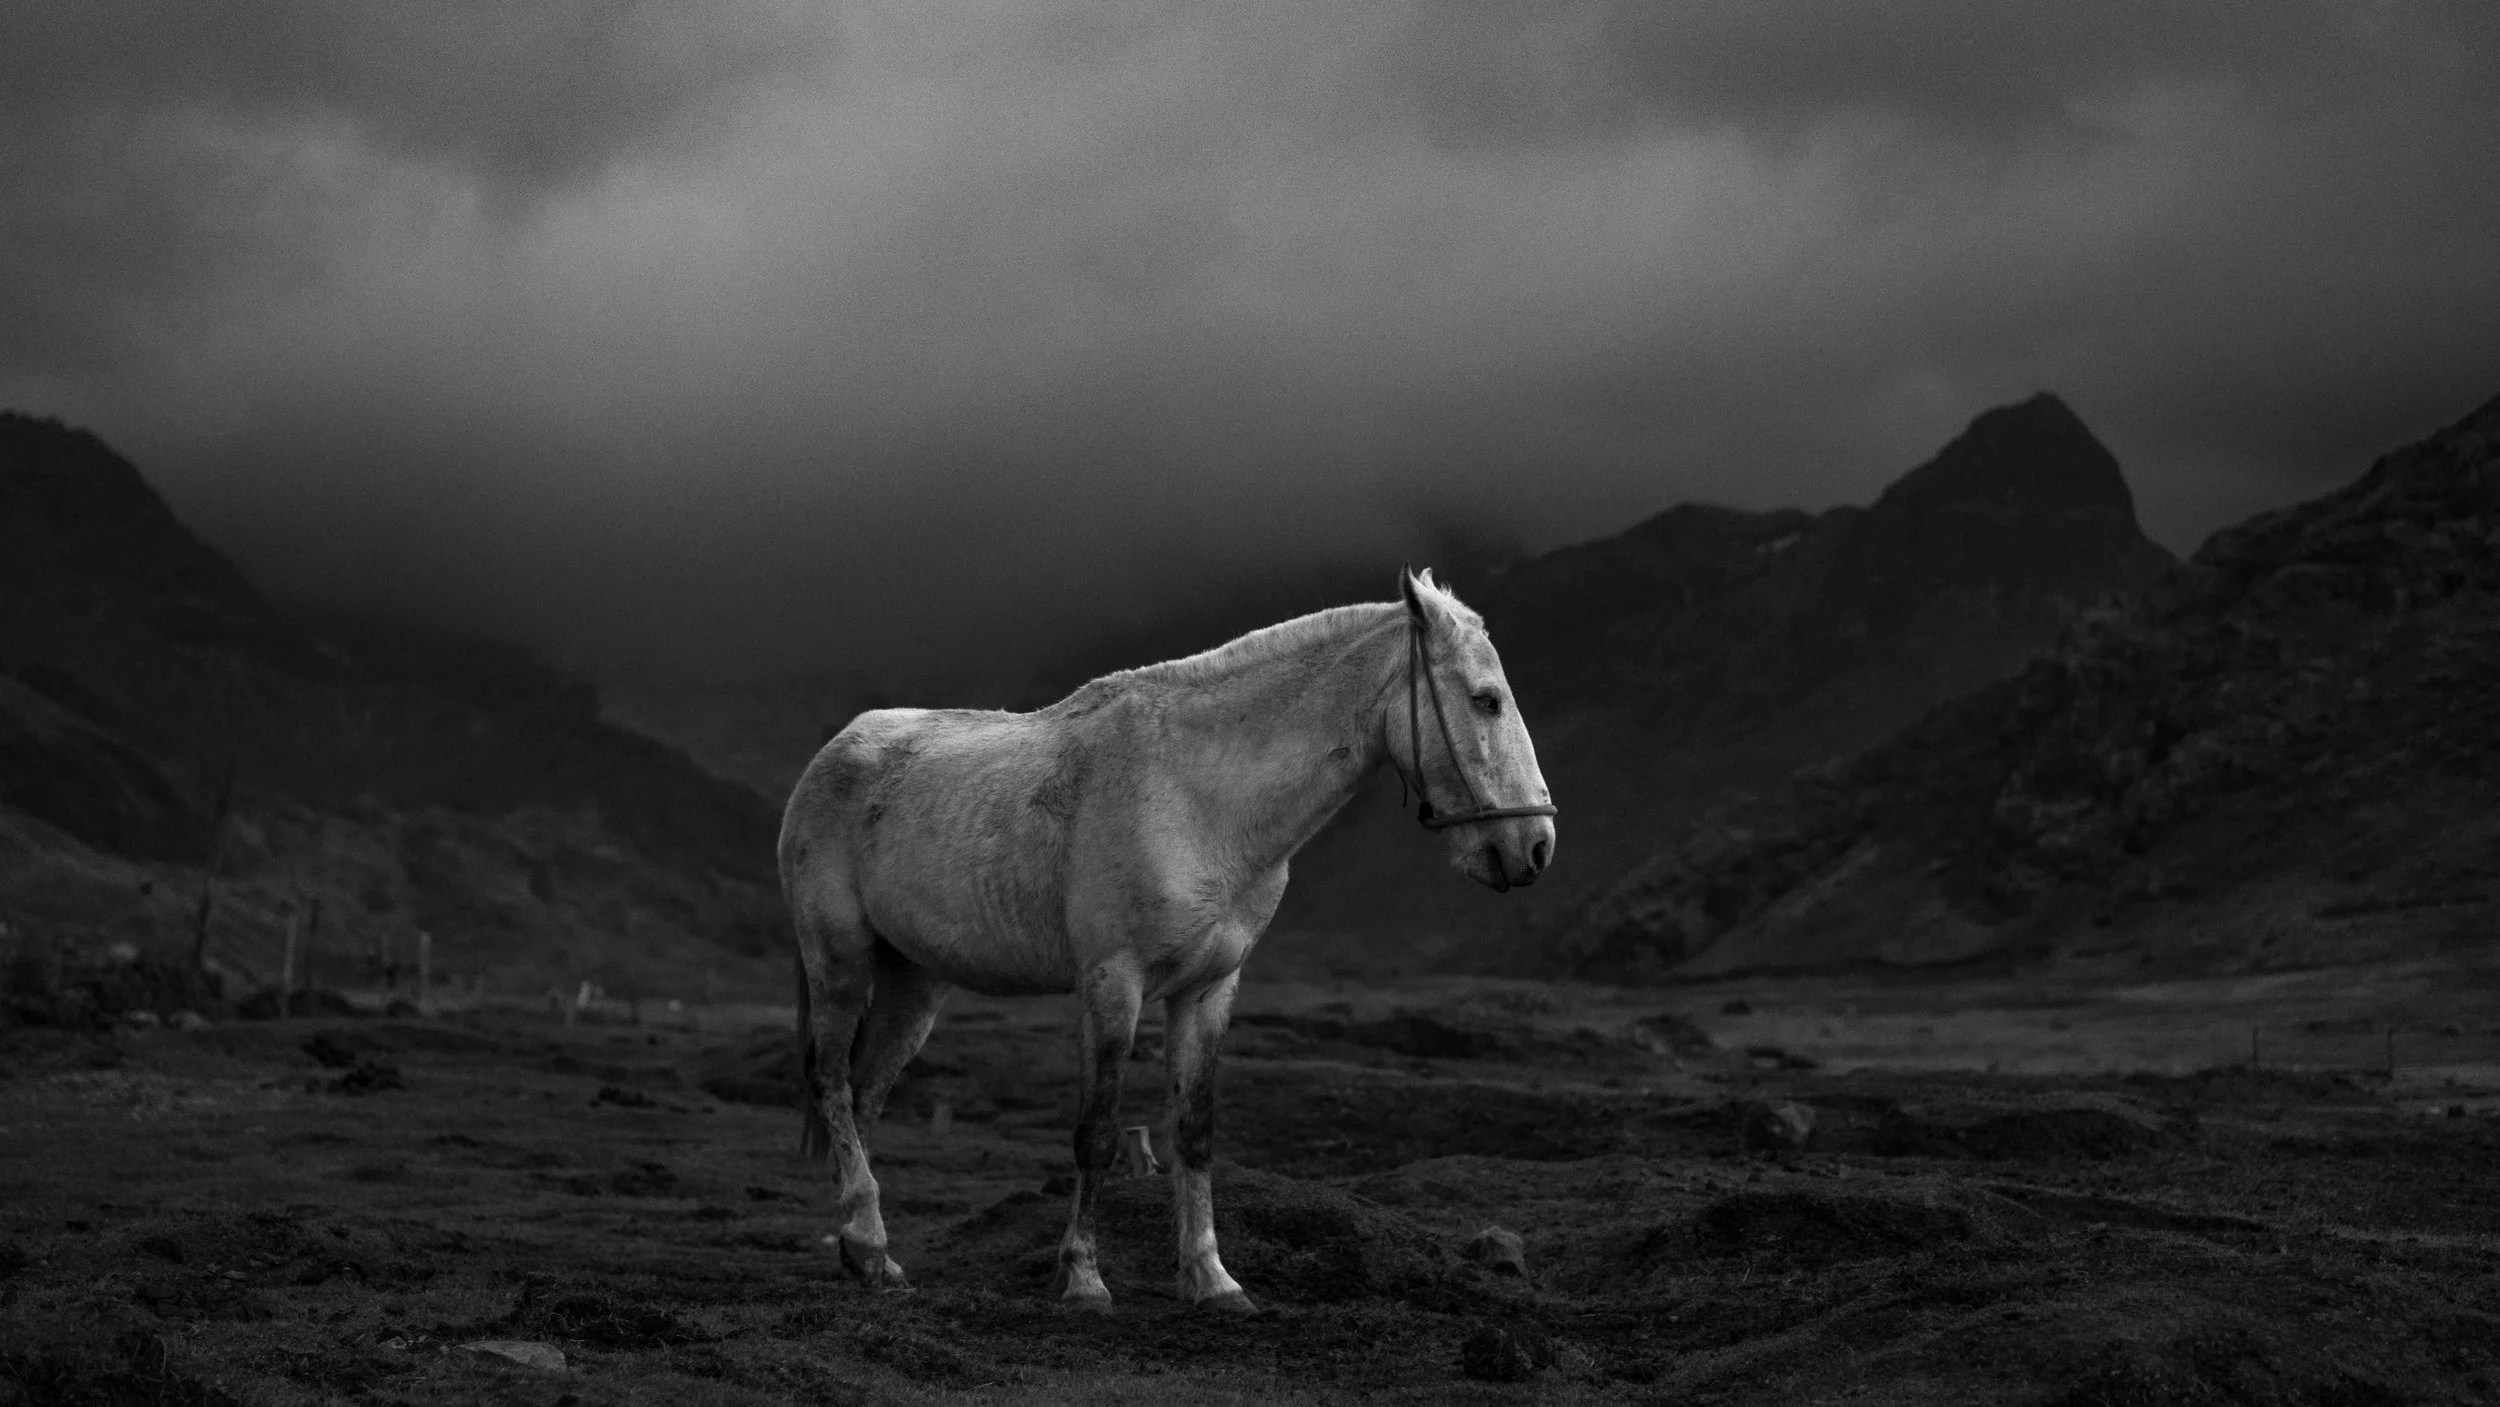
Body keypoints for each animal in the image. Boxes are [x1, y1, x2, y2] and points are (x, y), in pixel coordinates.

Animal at [776, 568, 1556, 1311]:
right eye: (1486, 699)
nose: (1535, 846)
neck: (1199, 797)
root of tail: (832, 755)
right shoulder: (1112, 984)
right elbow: (1096, 1132)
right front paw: (1083, 1279)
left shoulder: (1209, 990)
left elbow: (1194, 1130)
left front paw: (1212, 1278)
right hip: (840, 963)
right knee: (832, 1081)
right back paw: (868, 1239)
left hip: (914, 983)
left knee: (865, 1092)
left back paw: (869, 1254)